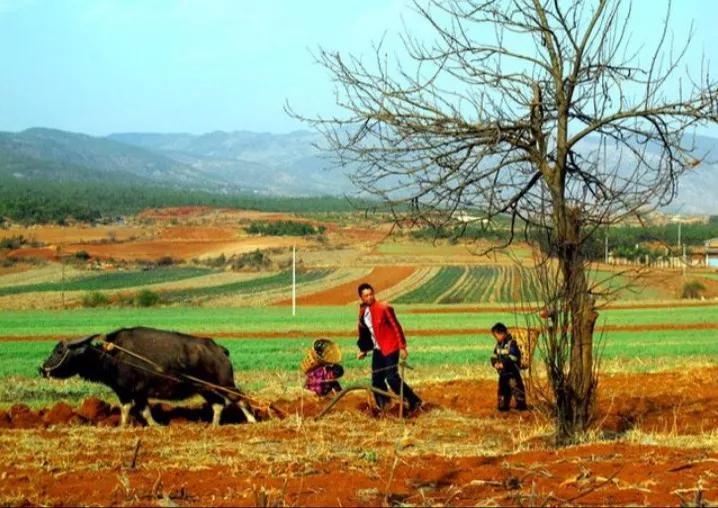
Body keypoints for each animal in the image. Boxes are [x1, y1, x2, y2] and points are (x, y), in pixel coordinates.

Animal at [40, 326, 256, 424]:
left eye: (59, 351)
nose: (42, 369)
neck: (112, 356)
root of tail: (219, 350)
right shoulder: (139, 393)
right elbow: (144, 411)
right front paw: (154, 425)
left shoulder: (126, 391)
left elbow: (126, 409)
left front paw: (122, 426)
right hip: (206, 388)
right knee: (218, 405)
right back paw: (214, 425)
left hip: (225, 383)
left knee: (240, 398)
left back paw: (252, 421)